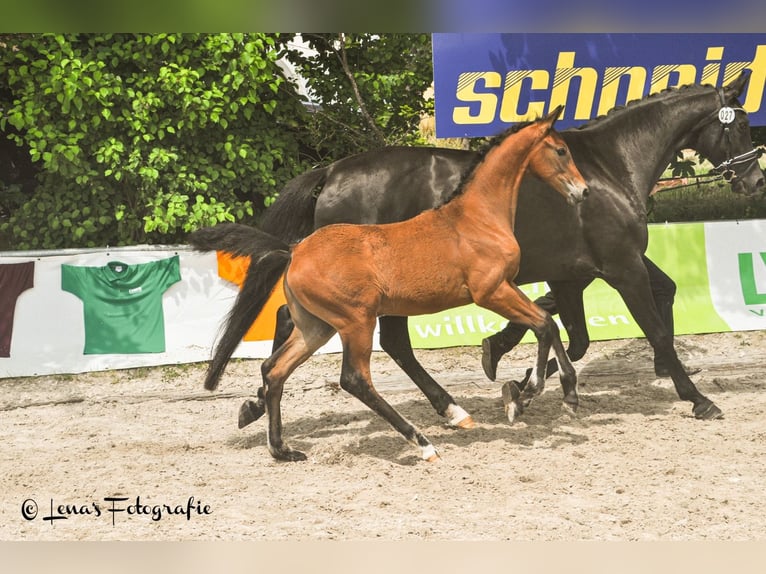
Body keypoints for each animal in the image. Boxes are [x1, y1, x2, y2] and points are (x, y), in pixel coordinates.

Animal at [190, 109, 588, 464]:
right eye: (560, 150)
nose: (583, 191)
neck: (475, 218)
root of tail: (295, 250)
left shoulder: (506, 287)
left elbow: (547, 324)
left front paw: (549, 395)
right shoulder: (491, 292)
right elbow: (543, 324)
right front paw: (534, 395)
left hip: (316, 327)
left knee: (275, 369)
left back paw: (282, 449)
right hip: (356, 322)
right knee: (355, 379)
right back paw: (424, 443)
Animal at [214, 72, 760, 430]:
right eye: (738, 125)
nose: (754, 180)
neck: (609, 167)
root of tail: (332, 171)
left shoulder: (575, 272)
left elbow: (573, 330)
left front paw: (511, 371)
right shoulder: (620, 266)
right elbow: (646, 329)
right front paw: (697, 398)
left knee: (305, 323)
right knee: (360, 336)